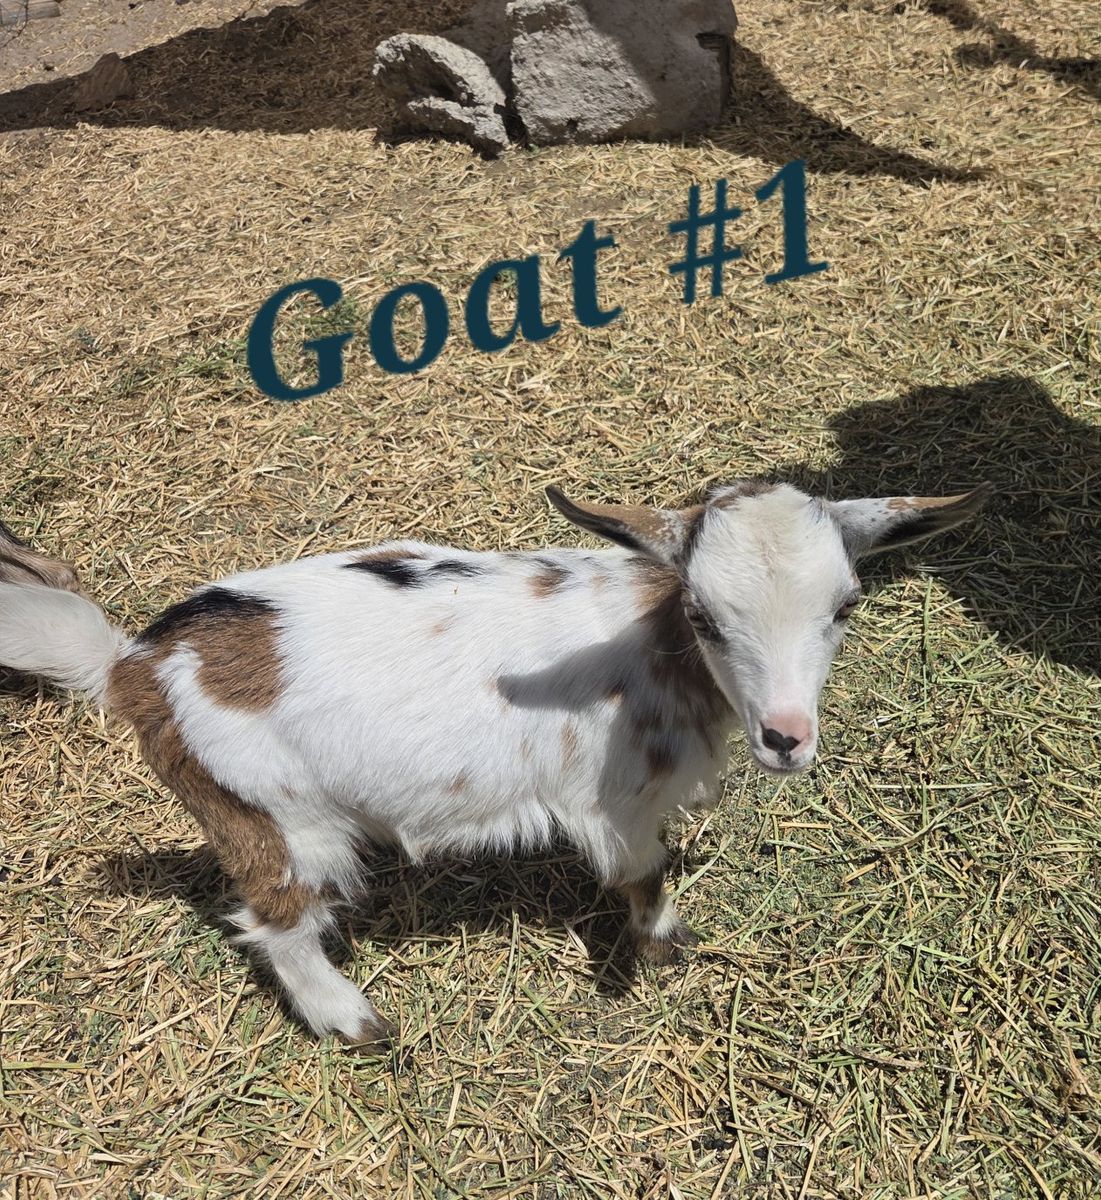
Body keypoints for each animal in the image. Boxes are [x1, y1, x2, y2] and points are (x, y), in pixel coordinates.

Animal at [0, 481, 990, 1047]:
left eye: (845, 606)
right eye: (705, 616)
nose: (786, 736)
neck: (655, 645)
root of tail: (135, 667)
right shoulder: (614, 806)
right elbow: (641, 876)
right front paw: (663, 948)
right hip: (273, 816)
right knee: (275, 920)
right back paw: (351, 1020)